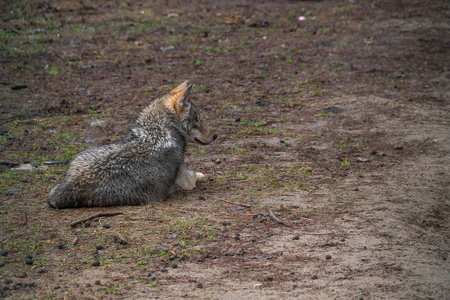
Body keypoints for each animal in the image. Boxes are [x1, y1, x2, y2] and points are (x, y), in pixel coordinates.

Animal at [48, 80, 217, 209]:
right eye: (197, 119)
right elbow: (195, 175)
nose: (215, 135)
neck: (157, 131)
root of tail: (67, 187)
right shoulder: (185, 180)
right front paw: (201, 175)